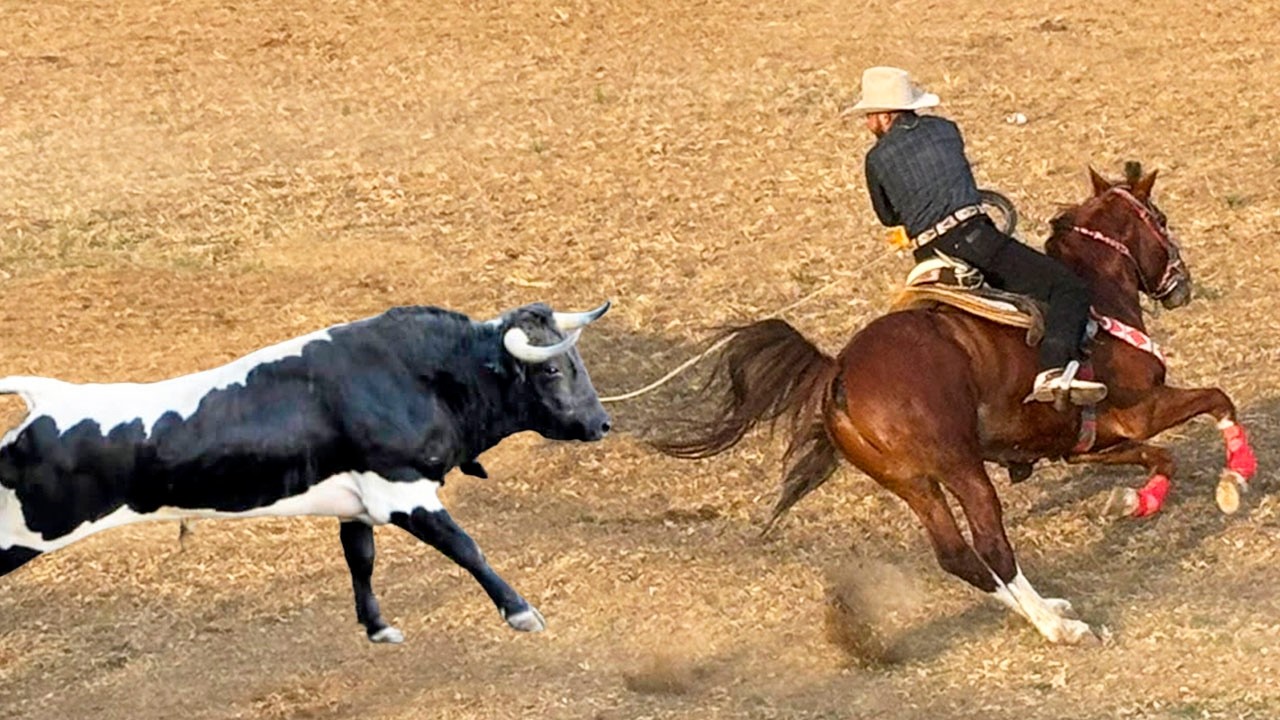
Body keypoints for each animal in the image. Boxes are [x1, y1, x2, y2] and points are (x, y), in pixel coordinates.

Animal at [654, 164, 1258, 644]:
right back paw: (1060, 627)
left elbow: (1162, 457)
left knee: (957, 556)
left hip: (913, 483)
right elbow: (1216, 400)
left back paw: (1042, 609)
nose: (1181, 285)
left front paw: (1132, 501)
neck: (1098, 298)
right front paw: (1235, 479)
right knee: (992, 547)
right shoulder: (1141, 409)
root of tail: (839, 371)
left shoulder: (1091, 442)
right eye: (1161, 218)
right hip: (962, 467)